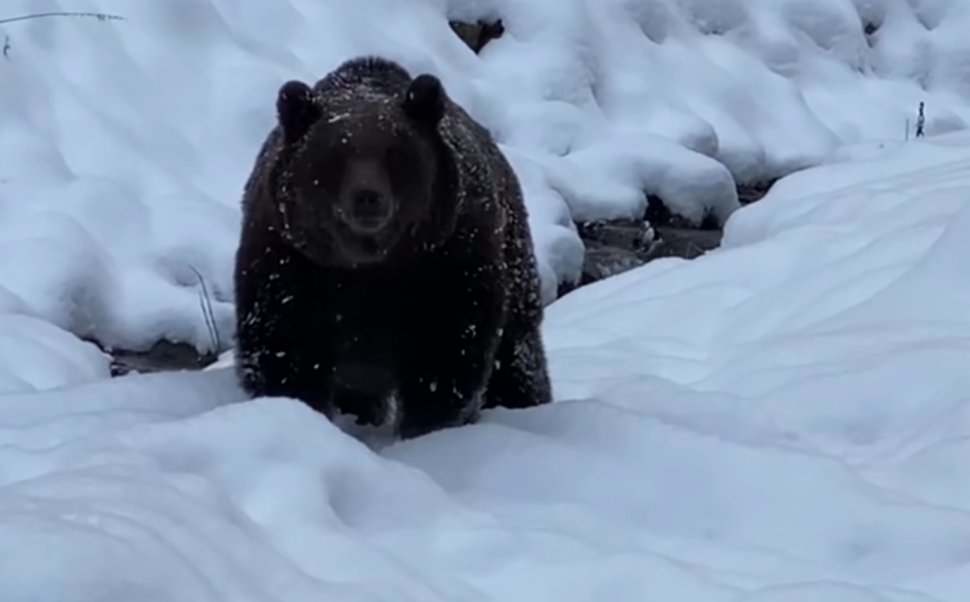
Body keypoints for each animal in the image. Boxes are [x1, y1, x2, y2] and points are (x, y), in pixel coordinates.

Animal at [231, 56, 552, 438]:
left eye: (393, 152)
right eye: (335, 153)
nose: (368, 196)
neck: (369, 266)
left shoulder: (449, 260)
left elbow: (446, 354)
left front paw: (427, 428)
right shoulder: (289, 261)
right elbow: (284, 348)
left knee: (517, 359)